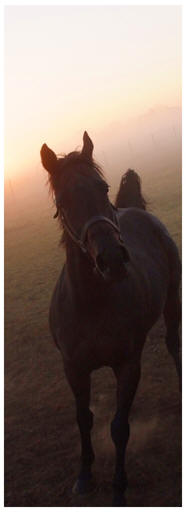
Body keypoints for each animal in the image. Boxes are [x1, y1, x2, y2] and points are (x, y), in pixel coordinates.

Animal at [40, 132, 181, 508]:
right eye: (63, 200)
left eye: (102, 188)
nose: (112, 259)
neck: (92, 305)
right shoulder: (73, 368)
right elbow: (83, 419)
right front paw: (85, 476)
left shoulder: (128, 365)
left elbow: (119, 427)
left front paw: (119, 487)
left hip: (173, 304)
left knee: (175, 345)